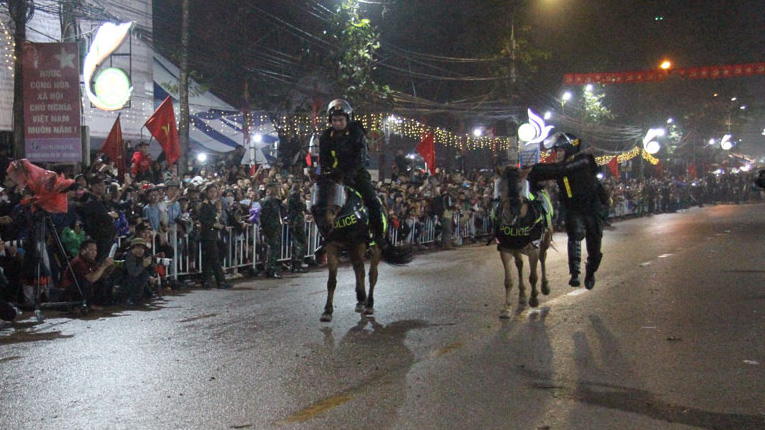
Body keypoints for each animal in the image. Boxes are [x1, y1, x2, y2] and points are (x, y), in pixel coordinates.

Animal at [308, 176, 412, 322]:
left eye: (334, 193)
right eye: (317, 194)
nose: (325, 226)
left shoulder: (358, 246)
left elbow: (362, 273)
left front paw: (363, 298)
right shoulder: (333, 247)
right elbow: (332, 281)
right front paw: (327, 311)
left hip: (374, 249)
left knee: (371, 275)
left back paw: (368, 303)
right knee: (359, 271)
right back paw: (361, 300)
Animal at [492, 166, 552, 318]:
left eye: (520, 187)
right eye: (502, 187)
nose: (512, 212)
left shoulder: (534, 250)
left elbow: (533, 277)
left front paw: (534, 299)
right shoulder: (505, 249)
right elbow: (508, 281)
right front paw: (507, 308)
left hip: (546, 240)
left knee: (543, 258)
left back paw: (545, 286)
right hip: (516, 249)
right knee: (519, 265)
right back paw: (522, 296)